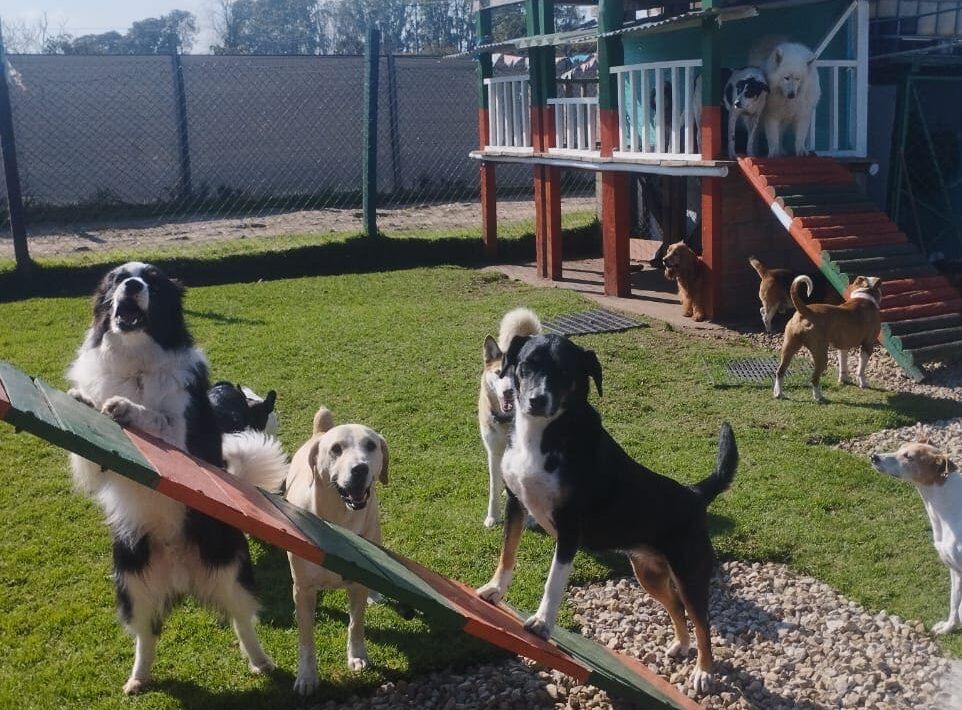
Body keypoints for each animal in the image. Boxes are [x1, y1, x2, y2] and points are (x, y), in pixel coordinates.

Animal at [66, 262, 286, 696]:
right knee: (146, 636)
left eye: (152, 280)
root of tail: (181, 572)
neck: (136, 359)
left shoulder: (189, 439)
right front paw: (85, 400)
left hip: (231, 571)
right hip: (133, 582)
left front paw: (124, 407)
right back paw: (138, 679)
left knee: (242, 620)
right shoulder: (98, 462)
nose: (132, 285)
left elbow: (161, 419)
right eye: (116, 278)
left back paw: (262, 663)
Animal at [284, 408, 388, 700]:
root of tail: (320, 431)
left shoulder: (358, 583)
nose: (360, 468)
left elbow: (356, 624)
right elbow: (306, 639)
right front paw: (307, 677)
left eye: (371, 445)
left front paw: (357, 657)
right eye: (336, 449)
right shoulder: (303, 589)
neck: (340, 519)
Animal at [476, 336, 740, 696]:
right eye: (527, 365)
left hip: (690, 573)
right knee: (675, 605)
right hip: (649, 573)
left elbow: (553, 582)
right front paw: (495, 589)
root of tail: (693, 494)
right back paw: (681, 644)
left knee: (702, 620)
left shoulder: (570, 528)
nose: (536, 400)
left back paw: (703, 671)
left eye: (564, 371)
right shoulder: (516, 503)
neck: (545, 435)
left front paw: (542, 623)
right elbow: (507, 554)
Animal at [772, 276, 876, 404]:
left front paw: (844, 380)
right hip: (821, 355)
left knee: (780, 371)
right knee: (814, 378)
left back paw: (778, 394)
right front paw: (863, 383)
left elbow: (843, 366)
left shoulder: (843, 346)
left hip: (788, 348)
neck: (863, 296)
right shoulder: (867, 345)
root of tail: (805, 310)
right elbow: (861, 369)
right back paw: (818, 397)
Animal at [872, 444, 960, 636]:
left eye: (909, 457)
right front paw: (948, 628)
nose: (874, 457)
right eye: (900, 448)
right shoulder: (955, 570)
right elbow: (954, 603)